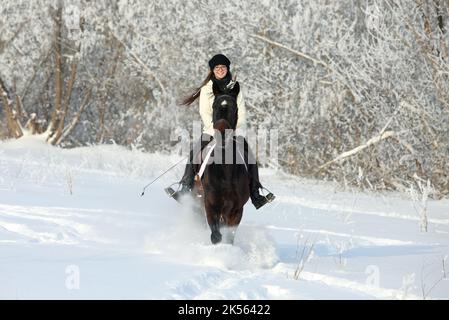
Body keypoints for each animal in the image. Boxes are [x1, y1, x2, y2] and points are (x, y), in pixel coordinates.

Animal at [192, 94, 250, 244]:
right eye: (214, 106)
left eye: (234, 107)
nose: (222, 134)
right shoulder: (210, 205)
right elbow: (216, 235)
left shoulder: (237, 210)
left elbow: (229, 236)